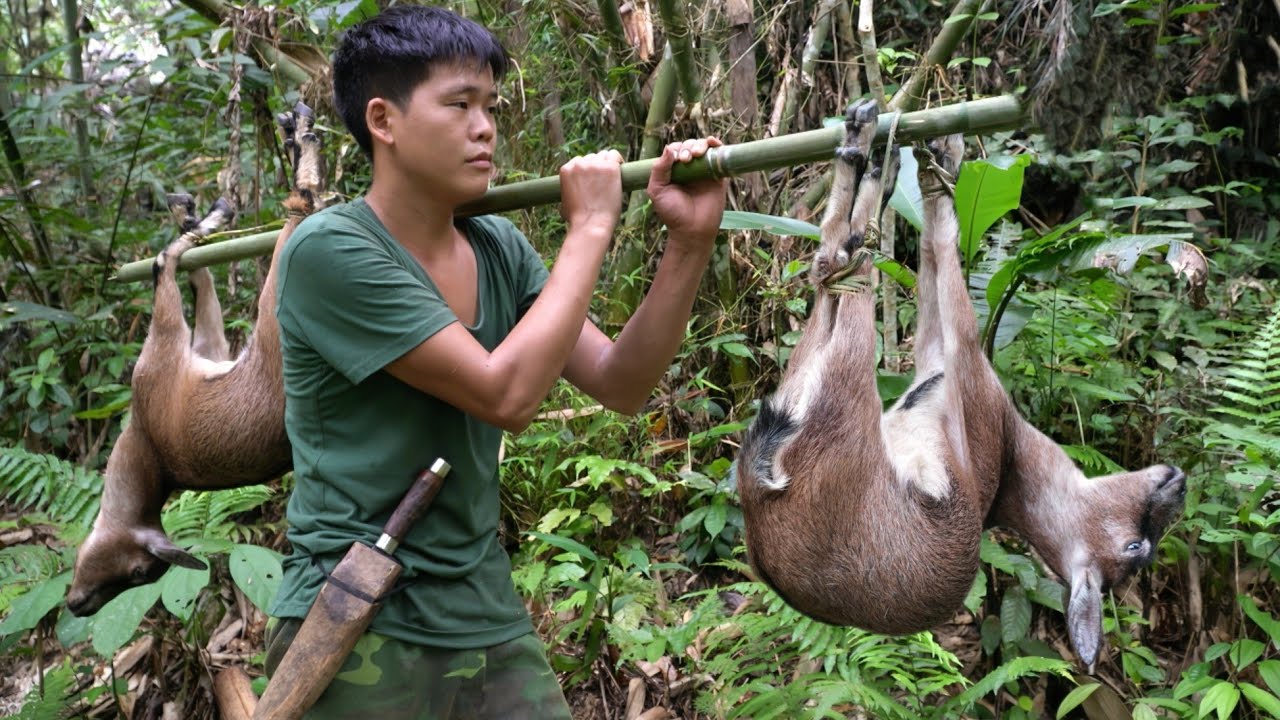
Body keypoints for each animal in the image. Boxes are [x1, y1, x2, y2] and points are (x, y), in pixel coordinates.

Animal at [65, 103, 324, 617]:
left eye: (135, 574)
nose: (78, 605)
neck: (150, 446)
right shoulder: (207, 355)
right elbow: (203, 294)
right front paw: (191, 212)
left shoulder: (159, 359)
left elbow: (165, 267)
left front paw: (202, 219)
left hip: (282, 288)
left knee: (303, 204)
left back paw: (301, 137)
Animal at [736, 100, 1186, 671]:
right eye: (1136, 546)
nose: (1179, 480)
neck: (1012, 462)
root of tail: (760, 493)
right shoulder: (942, 370)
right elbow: (934, 265)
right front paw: (940, 167)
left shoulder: (973, 395)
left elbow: (961, 315)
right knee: (833, 272)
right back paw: (872, 155)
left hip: (845, 411)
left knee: (841, 267)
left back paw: (866, 158)